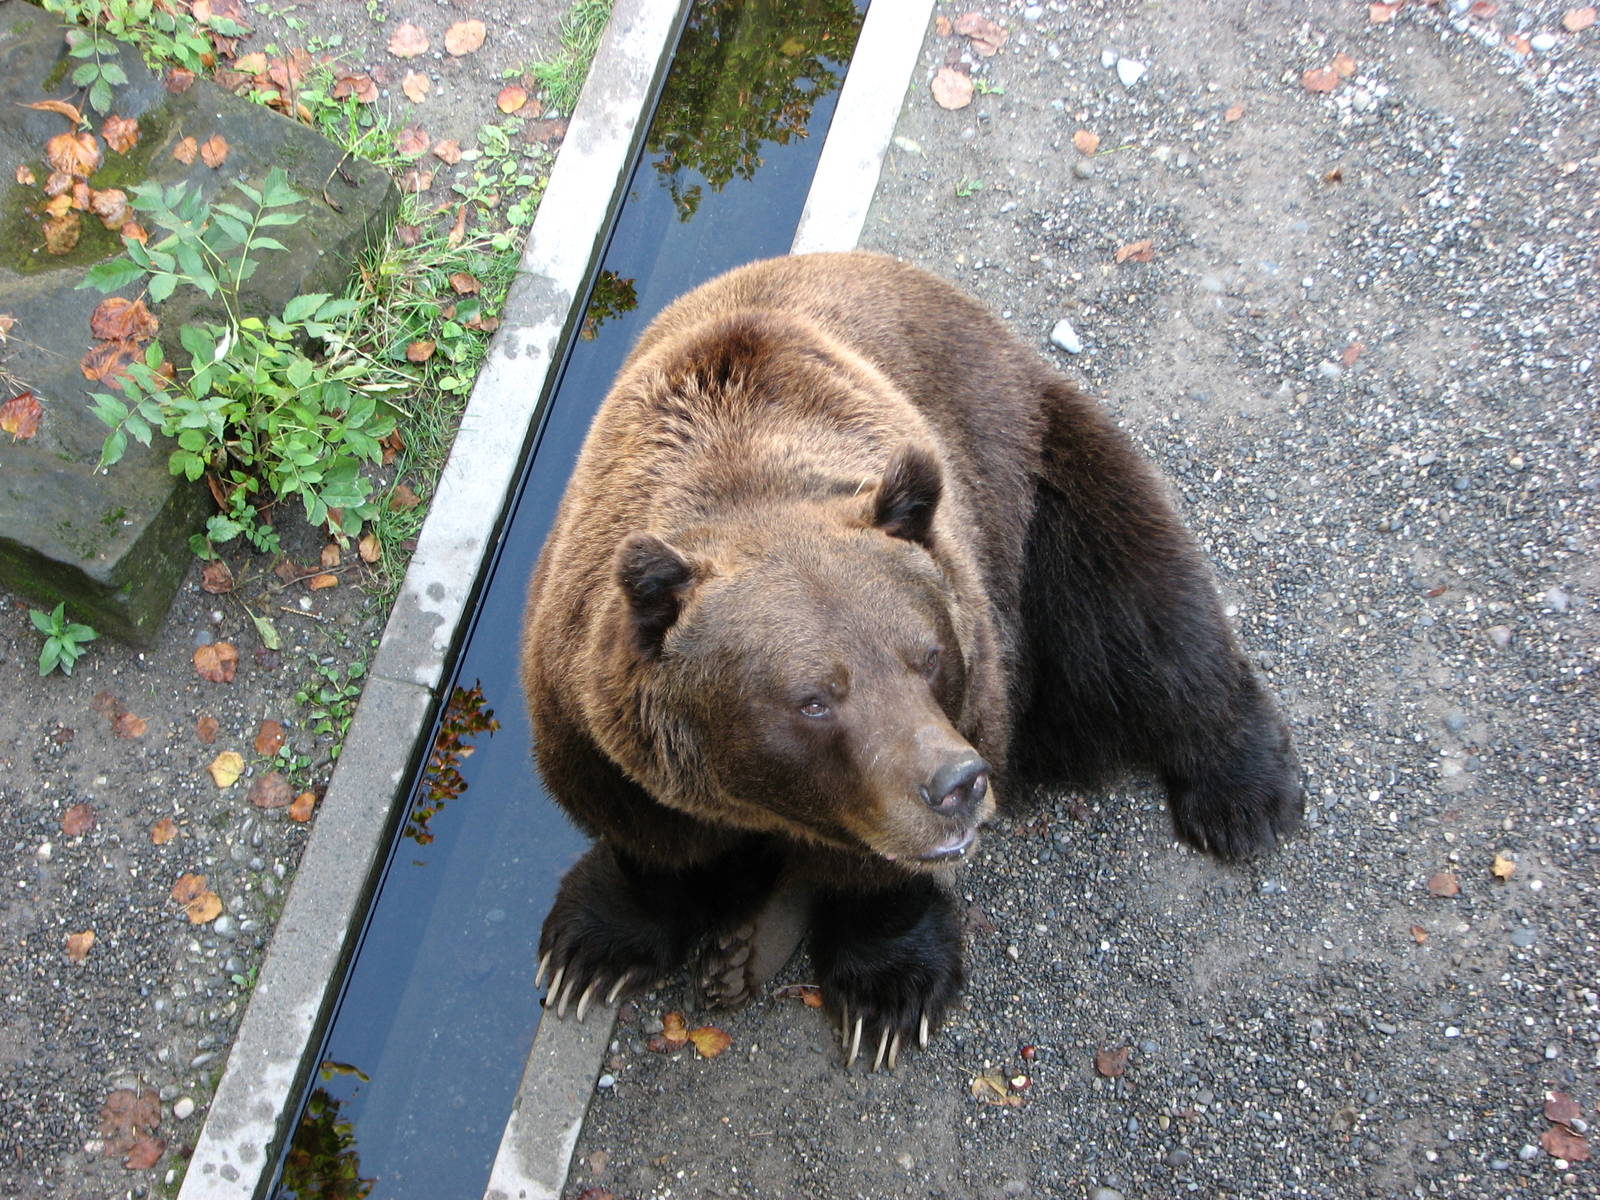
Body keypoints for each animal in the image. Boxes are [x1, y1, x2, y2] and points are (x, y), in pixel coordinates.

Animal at [521, 251, 1300, 1070]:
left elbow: (883, 873)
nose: (957, 784)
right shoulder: (585, 710)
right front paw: (593, 951)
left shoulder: (977, 656)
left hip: (1031, 473)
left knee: (1138, 611)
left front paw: (886, 992)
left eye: (926, 657)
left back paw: (1242, 795)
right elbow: (645, 835)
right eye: (813, 699)